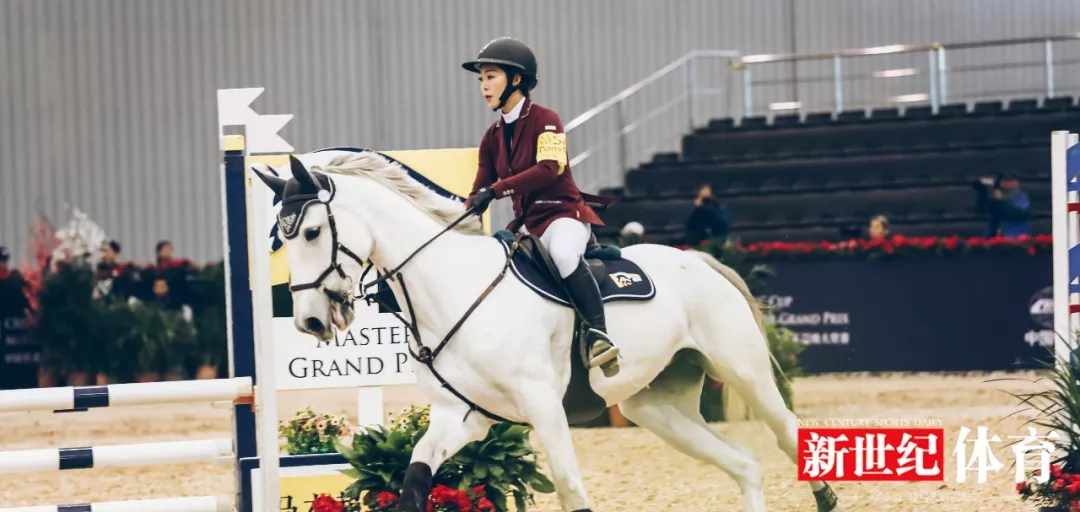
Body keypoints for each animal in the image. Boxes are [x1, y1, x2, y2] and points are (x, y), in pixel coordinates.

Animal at [252, 149, 842, 511]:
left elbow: (572, 490)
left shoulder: (542, 407)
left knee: (786, 433)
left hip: (744, 374)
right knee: (744, 465)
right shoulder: (462, 416)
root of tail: (698, 260)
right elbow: (413, 487)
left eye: (310, 232)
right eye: (281, 239)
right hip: (655, 407)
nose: (308, 320)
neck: (454, 288)